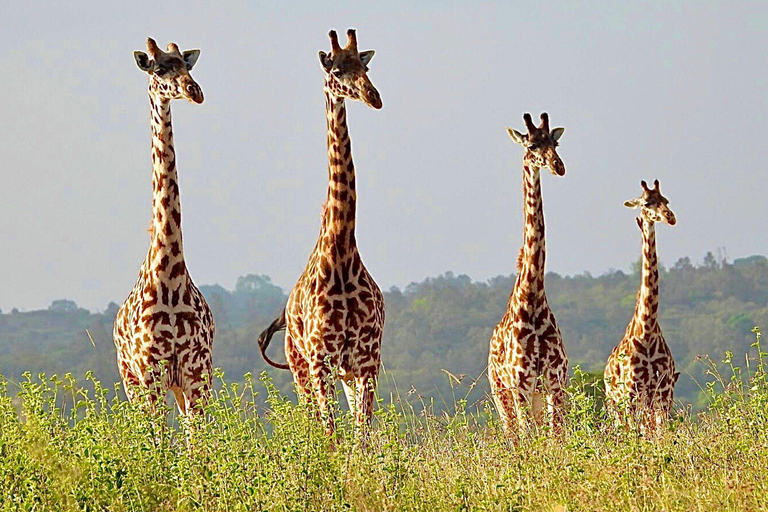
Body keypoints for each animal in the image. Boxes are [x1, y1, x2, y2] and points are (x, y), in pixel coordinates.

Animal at [111, 39, 214, 416]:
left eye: (187, 65)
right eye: (158, 69)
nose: (194, 91)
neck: (170, 276)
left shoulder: (196, 373)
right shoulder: (150, 373)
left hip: (180, 388)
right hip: (130, 380)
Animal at [258, 30, 384, 434]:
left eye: (365, 67)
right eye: (337, 70)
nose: (374, 96)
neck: (341, 249)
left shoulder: (366, 360)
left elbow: (362, 436)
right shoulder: (320, 360)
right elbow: (331, 434)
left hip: (344, 375)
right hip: (301, 369)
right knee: (314, 425)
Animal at [486, 112, 568, 432]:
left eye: (555, 143)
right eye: (532, 145)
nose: (558, 166)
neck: (532, 298)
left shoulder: (555, 380)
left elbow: (556, 437)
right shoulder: (520, 384)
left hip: (535, 397)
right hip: (501, 394)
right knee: (514, 436)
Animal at [608, 180, 680, 432]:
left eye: (666, 200)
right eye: (648, 203)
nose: (670, 217)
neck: (647, 329)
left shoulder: (663, 393)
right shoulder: (630, 395)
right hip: (615, 405)